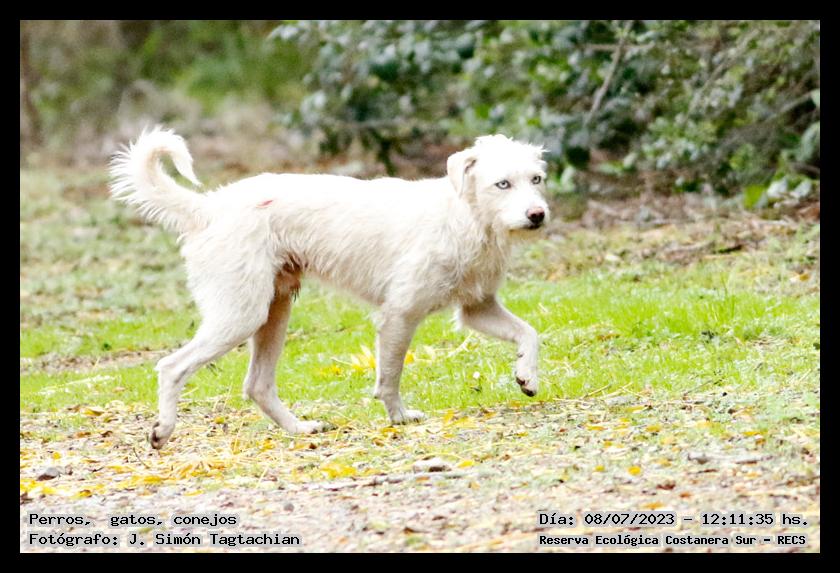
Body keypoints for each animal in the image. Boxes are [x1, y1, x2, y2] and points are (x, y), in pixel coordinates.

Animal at [109, 128, 549, 448]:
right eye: (502, 184)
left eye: (537, 179)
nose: (538, 215)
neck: (466, 215)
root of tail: (208, 208)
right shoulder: (400, 314)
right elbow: (389, 377)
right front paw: (399, 417)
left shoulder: (478, 308)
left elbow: (530, 333)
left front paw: (526, 375)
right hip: (241, 316)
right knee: (172, 367)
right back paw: (163, 431)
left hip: (273, 313)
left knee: (257, 386)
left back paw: (299, 429)